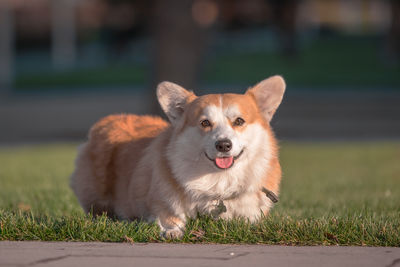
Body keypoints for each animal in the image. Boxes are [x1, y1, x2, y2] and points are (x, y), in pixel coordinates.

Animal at [70, 75, 286, 239]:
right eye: (205, 122)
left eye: (239, 121)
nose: (223, 145)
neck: (219, 179)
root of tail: (106, 120)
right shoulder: (161, 204)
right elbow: (169, 217)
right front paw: (172, 230)